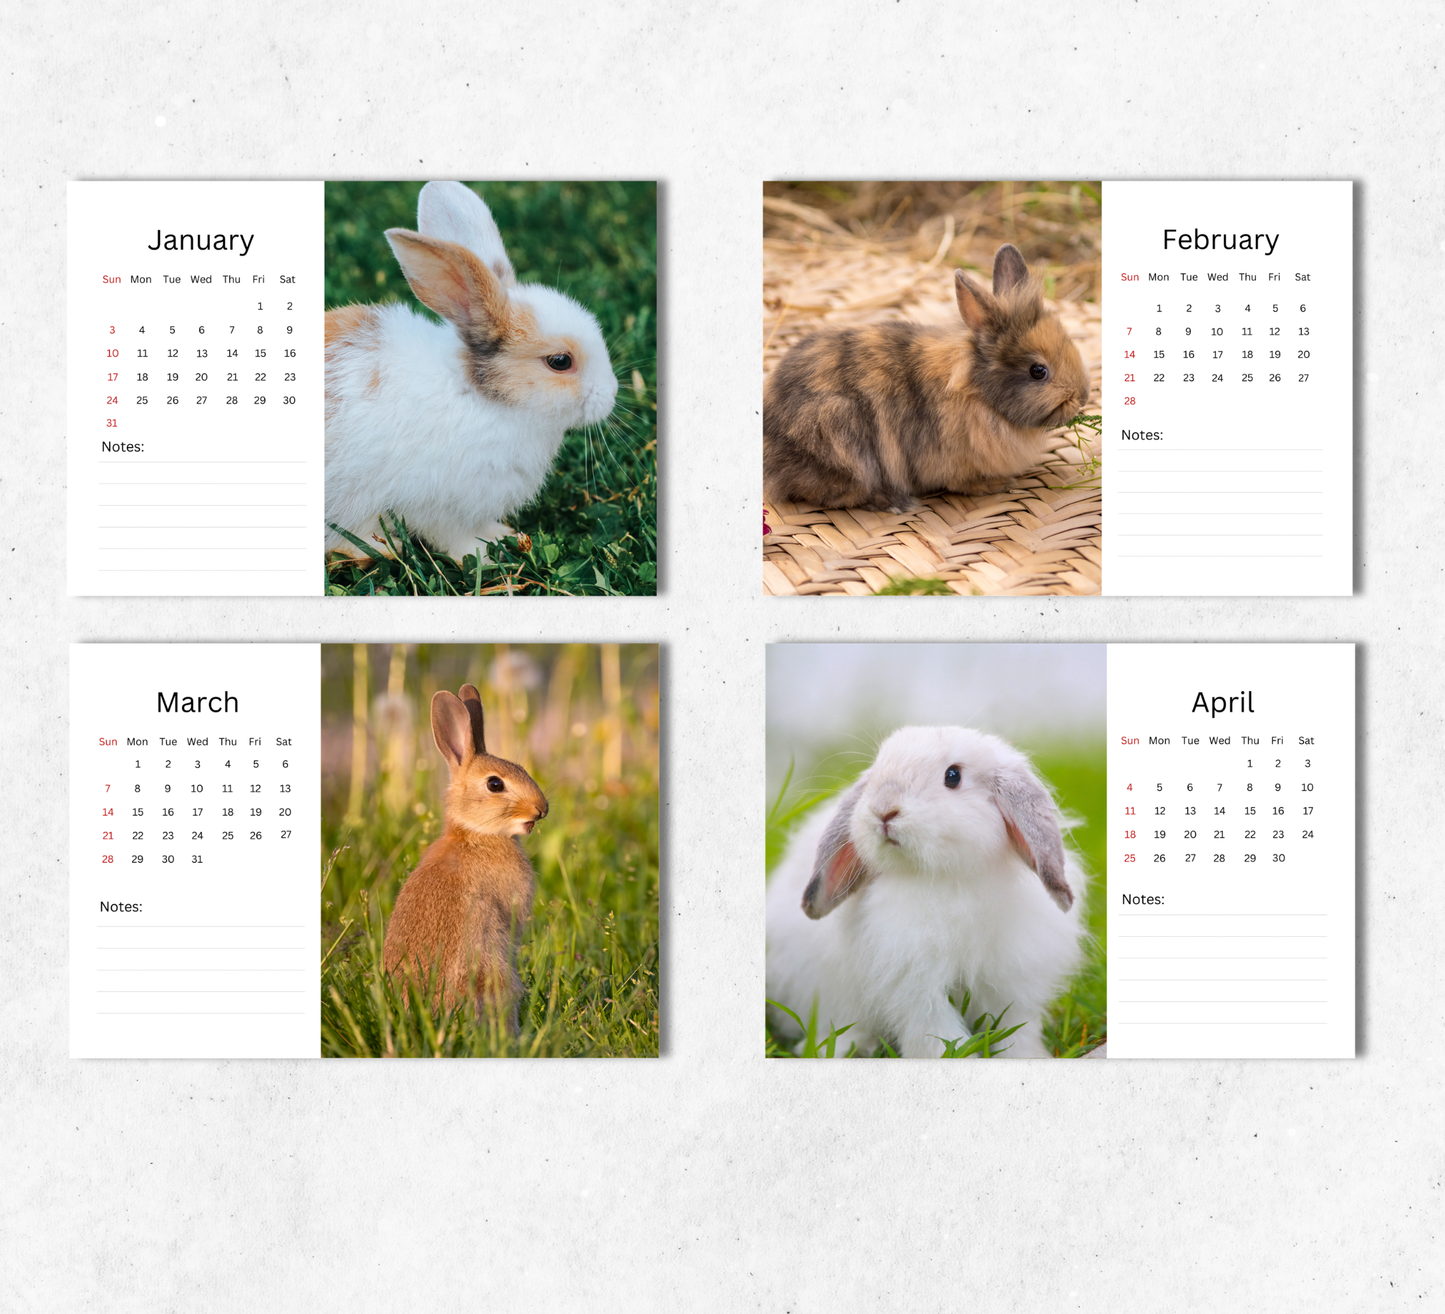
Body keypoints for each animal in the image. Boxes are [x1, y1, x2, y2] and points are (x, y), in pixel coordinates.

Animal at [325, 181, 619, 562]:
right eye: (560, 361)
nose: (611, 394)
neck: (482, 397)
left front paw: (501, 534)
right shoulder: (437, 506)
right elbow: (454, 539)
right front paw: (482, 555)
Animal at [763, 243, 1090, 512]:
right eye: (1038, 371)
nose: (1083, 397)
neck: (979, 395)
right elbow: (963, 483)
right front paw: (996, 484)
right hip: (838, 434)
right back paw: (892, 502)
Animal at [765, 726, 1088, 1058]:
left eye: (953, 776)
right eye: (877, 769)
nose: (883, 810)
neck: (949, 878)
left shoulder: (1013, 983)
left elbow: (1016, 1030)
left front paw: (1027, 1056)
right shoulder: (916, 988)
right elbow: (935, 1032)